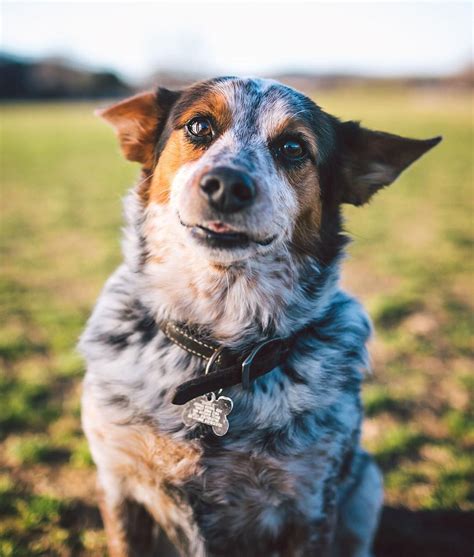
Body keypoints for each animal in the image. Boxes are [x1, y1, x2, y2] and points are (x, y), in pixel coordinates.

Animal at [80, 75, 440, 556]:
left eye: (293, 147)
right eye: (199, 126)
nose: (227, 184)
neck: (217, 350)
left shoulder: (310, 505)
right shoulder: (120, 486)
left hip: (367, 483)